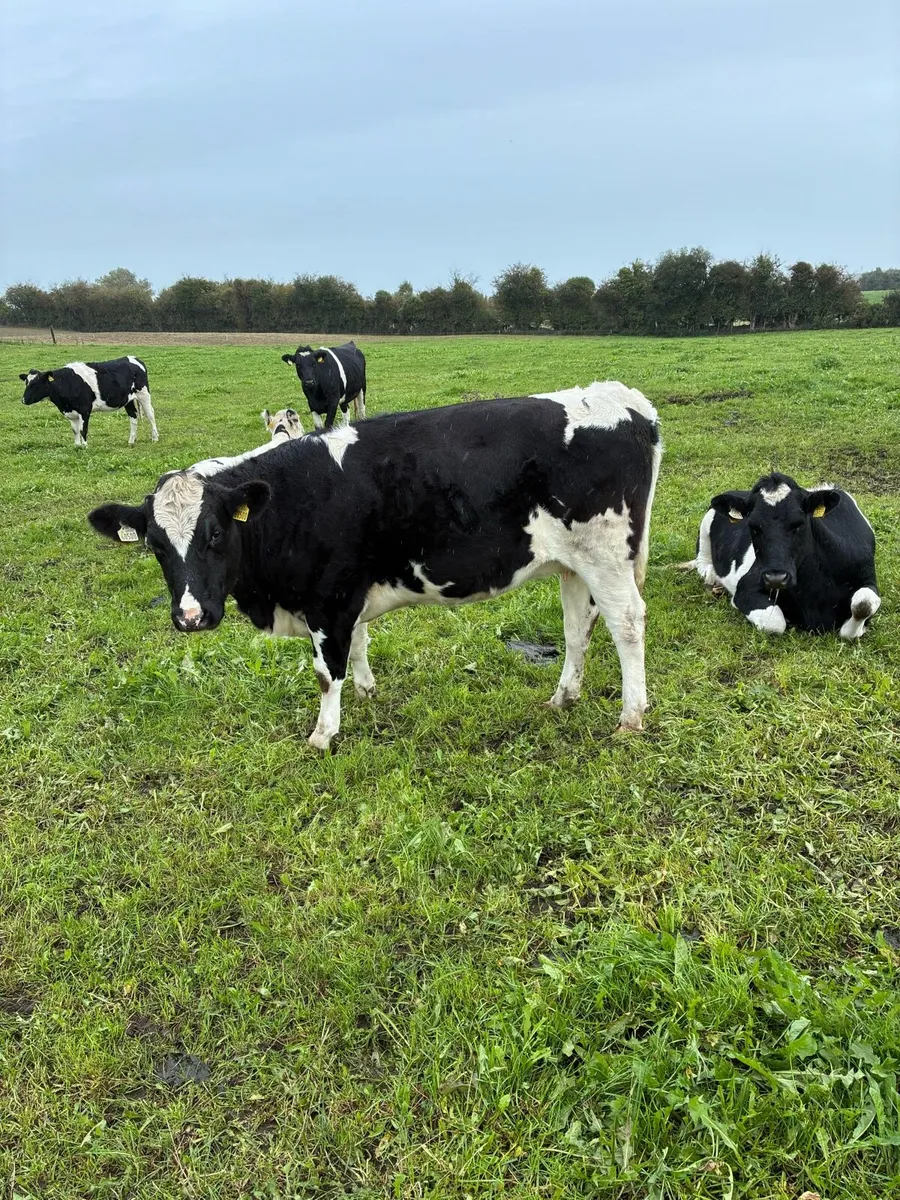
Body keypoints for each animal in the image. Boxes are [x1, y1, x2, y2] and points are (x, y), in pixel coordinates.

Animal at [20, 356, 158, 448]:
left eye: (35, 384)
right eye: (26, 383)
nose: (23, 400)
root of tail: (134, 358)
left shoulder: (84, 409)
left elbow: (83, 429)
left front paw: (85, 447)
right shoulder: (71, 412)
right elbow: (75, 430)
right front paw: (77, 446)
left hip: (143, 394)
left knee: (150, 415)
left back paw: (155, 438)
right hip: (128, 400)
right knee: (133, 417)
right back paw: (131, 441)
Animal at [87, 381, 662, 751]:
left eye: (214, 533)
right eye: (156, 545)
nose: (190, 617)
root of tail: (624, 398)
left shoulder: (326, 598)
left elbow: (326, 672)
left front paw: (323, 734)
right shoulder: (347, 594)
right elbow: (358, 645)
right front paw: (365, 694)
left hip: (607, 557)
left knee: (628, 623)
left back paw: (630, 718)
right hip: (573, 563)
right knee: (577, 628)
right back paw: (562, 698)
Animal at [691, 471, 880, 638]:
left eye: (799, 523)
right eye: (753, 526)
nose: (776, 578)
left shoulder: (866, 575)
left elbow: (863, 604)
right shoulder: (746, 586)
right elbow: (774, 622)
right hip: (705, 526)